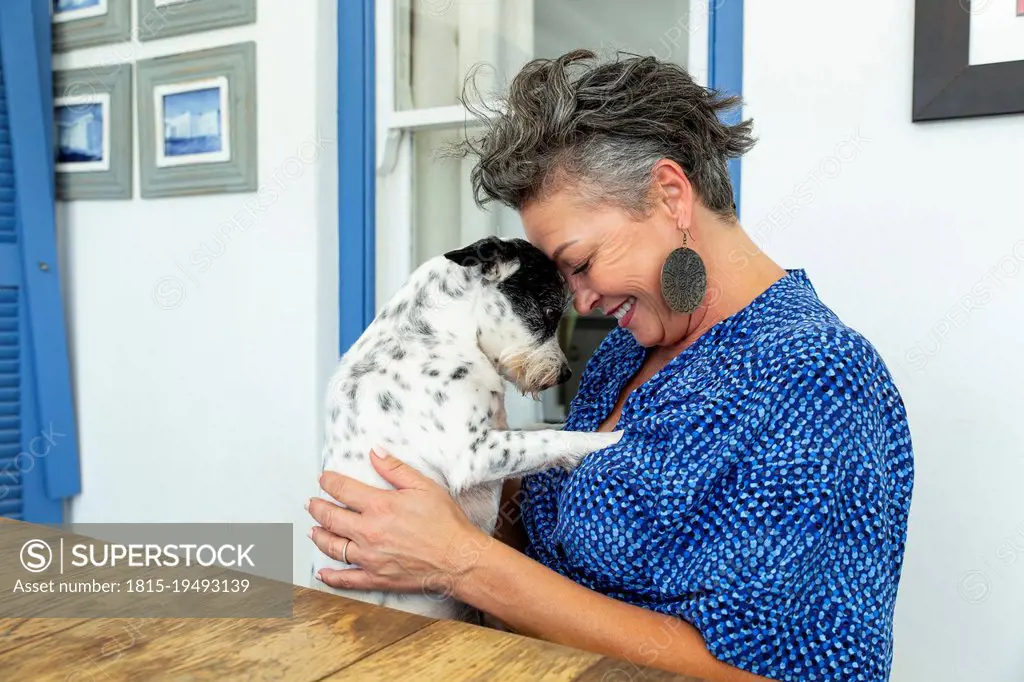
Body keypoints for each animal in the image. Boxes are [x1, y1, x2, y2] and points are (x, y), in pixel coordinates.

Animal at [307, 236, 618, 618]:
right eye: (549, 313)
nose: (565, 374)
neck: (434, 337)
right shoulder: (474, 456)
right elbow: (551, 437)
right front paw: (608, 438)